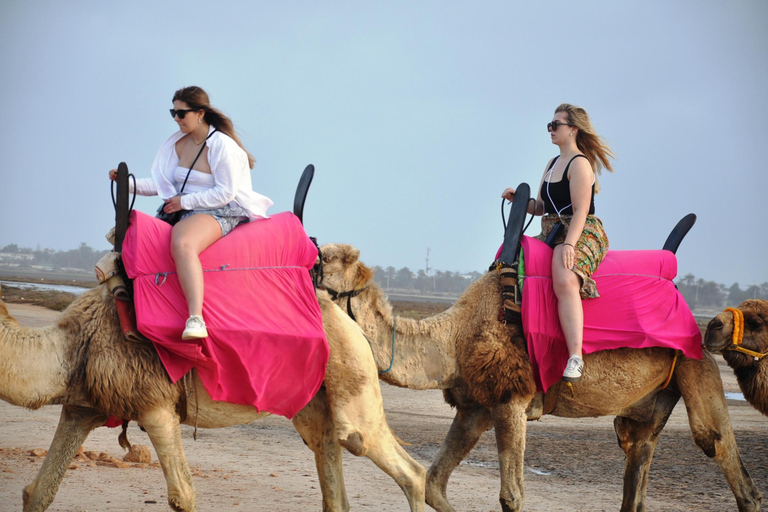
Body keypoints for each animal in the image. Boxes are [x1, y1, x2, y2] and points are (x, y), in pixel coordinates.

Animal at [0, 284, 426, 512]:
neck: (71, 345)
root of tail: (350, 320)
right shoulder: (82, 407)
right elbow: (38, 492)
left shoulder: (155, 405)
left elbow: (183, 496)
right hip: (315, 405)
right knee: (331, 470)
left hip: (352, 371)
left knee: (399, 464)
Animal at [318, 241, 760, 512]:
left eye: (322, 264)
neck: (455, 337)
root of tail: (691, 313)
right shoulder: (474, 409)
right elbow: (435, 481)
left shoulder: (510, 401)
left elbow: (511, 496)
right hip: (652, 404)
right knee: (638, 466)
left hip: (695, 360)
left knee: (720, 448)